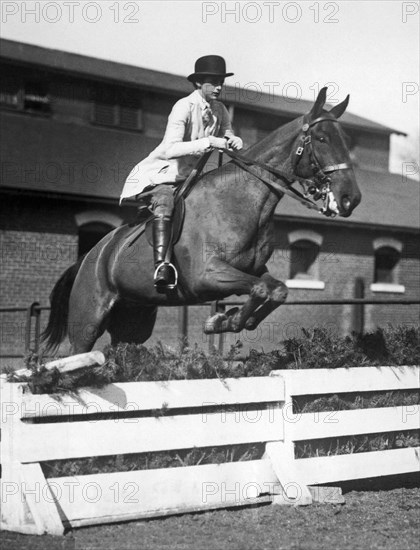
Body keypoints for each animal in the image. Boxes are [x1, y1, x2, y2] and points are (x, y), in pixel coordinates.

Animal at [42, 86, 360, 354]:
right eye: (322, 139)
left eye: (347, 141)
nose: (351, 199)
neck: (243, 201)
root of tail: (90, 256)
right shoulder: (206, 276)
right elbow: (260, 288)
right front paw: (222, 320)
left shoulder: (253, 270)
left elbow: (276, 289)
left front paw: (230, 319)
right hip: (88, 322)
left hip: (134, 322)